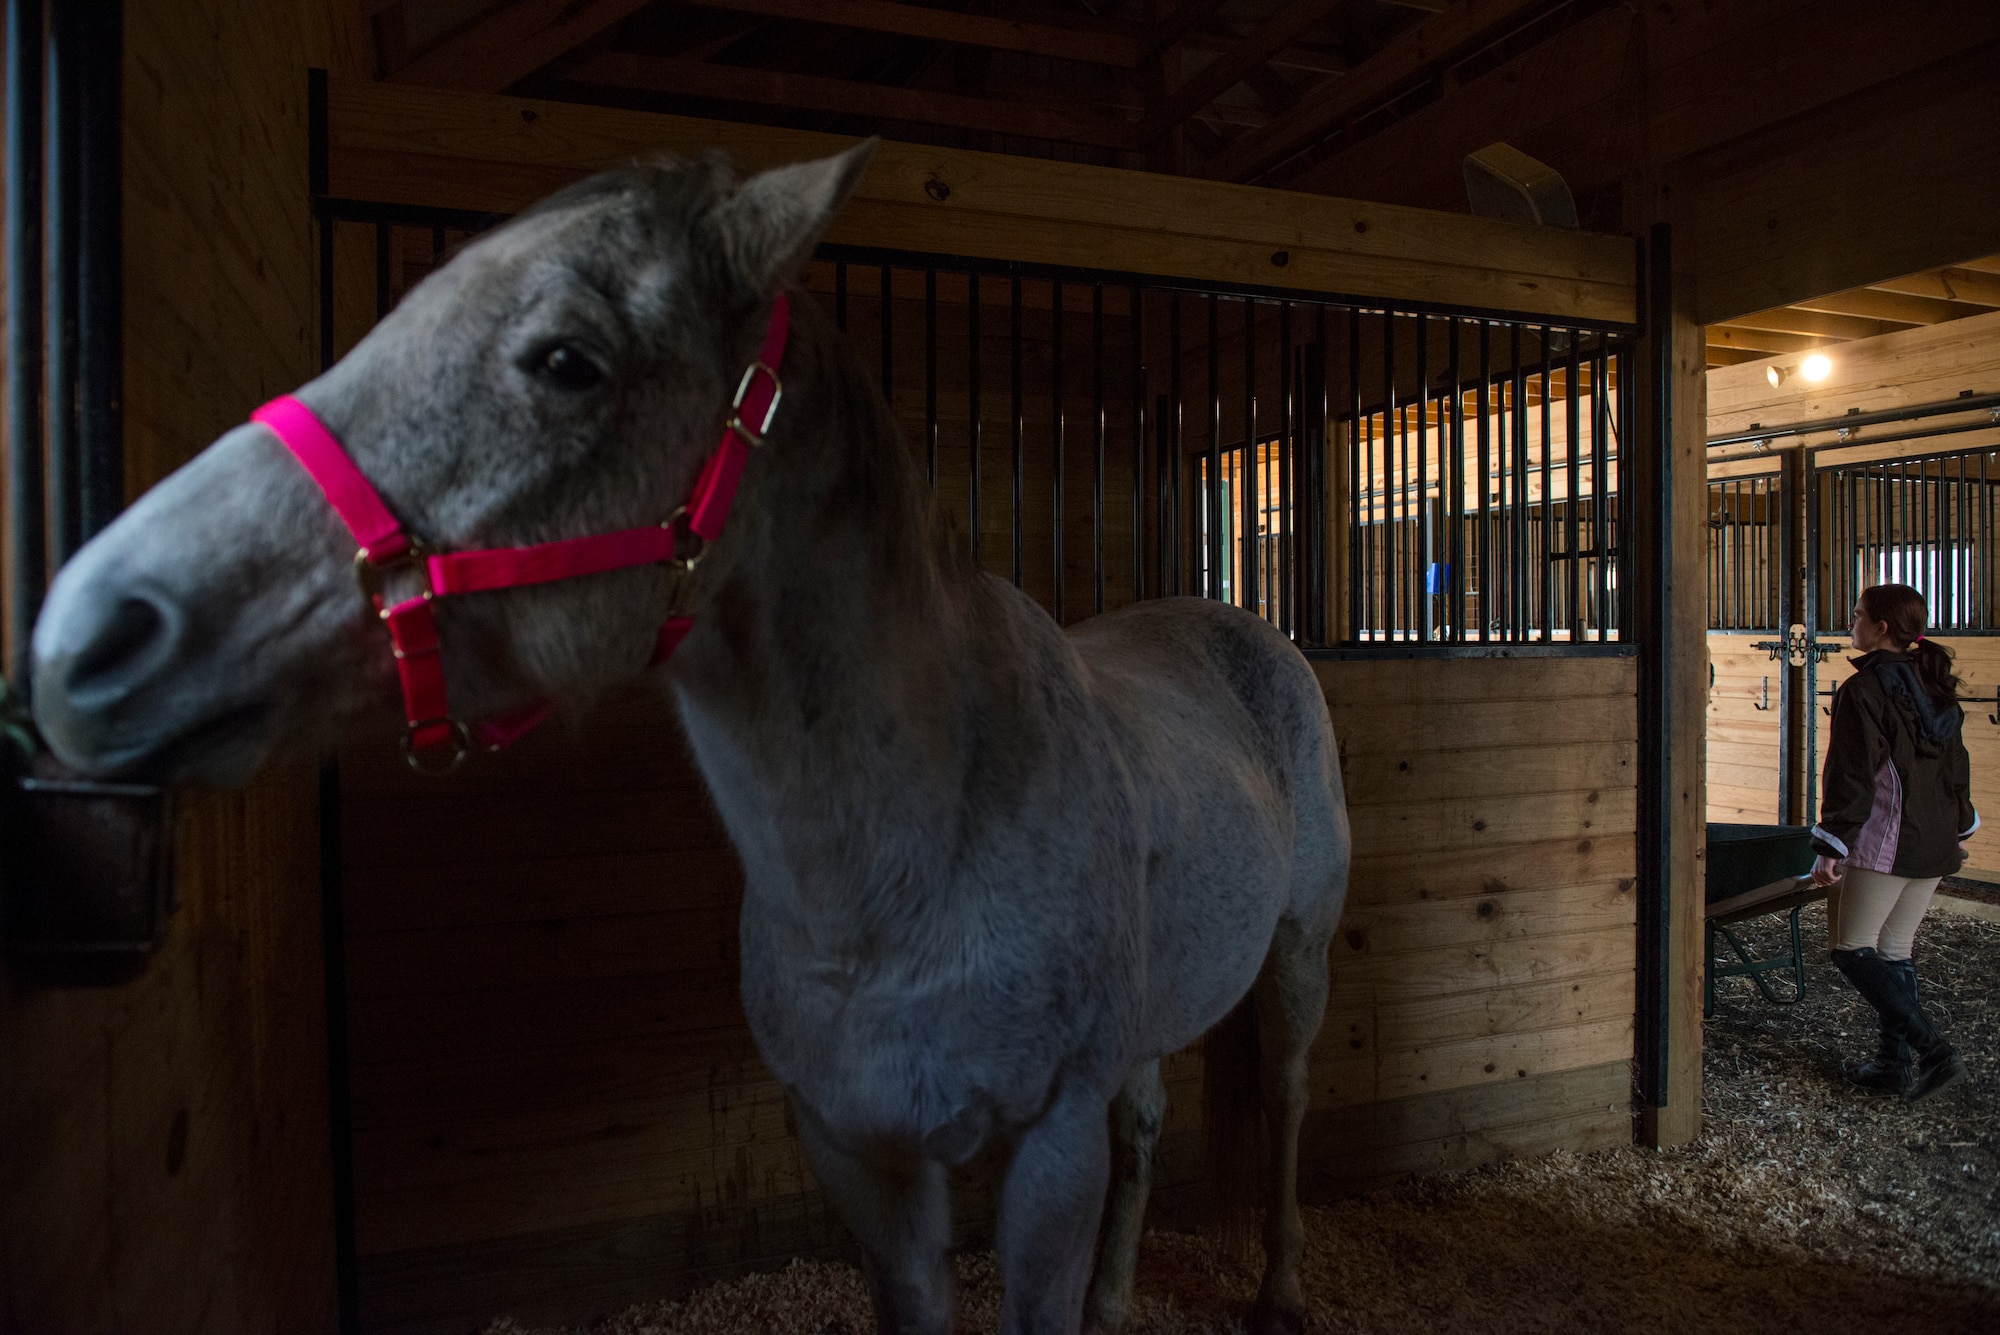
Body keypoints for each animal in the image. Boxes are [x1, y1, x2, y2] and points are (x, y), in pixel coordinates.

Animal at [31, 145, 1344, 1335]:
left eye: (568, 361)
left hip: (1294, 954)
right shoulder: (859, 1155)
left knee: (1287, 1097)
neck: (906, 869)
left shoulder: (1048, 1148)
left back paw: (1281, 1289)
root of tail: (1237, 622)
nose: (90, 634)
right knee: (1150, 1114)